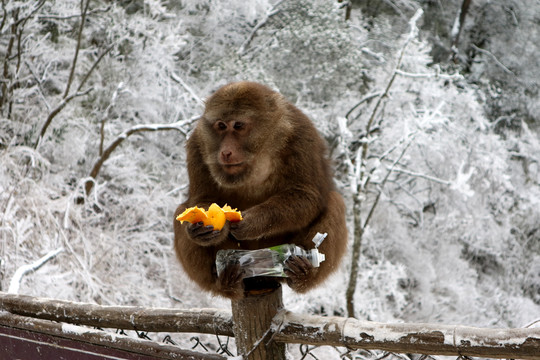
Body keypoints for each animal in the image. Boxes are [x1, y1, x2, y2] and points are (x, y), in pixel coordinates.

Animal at [175, 81, 348, 298]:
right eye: (221, 126)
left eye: (238, 126)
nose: (226, 152)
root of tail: (260, 280)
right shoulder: (198, 144)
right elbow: (203, 198)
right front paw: (199, 230)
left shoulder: (301, 134)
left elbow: (306, 195)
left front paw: (253, 222)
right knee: (181, 210)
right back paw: (226, 283)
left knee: (335, 202)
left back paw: (302, 274)